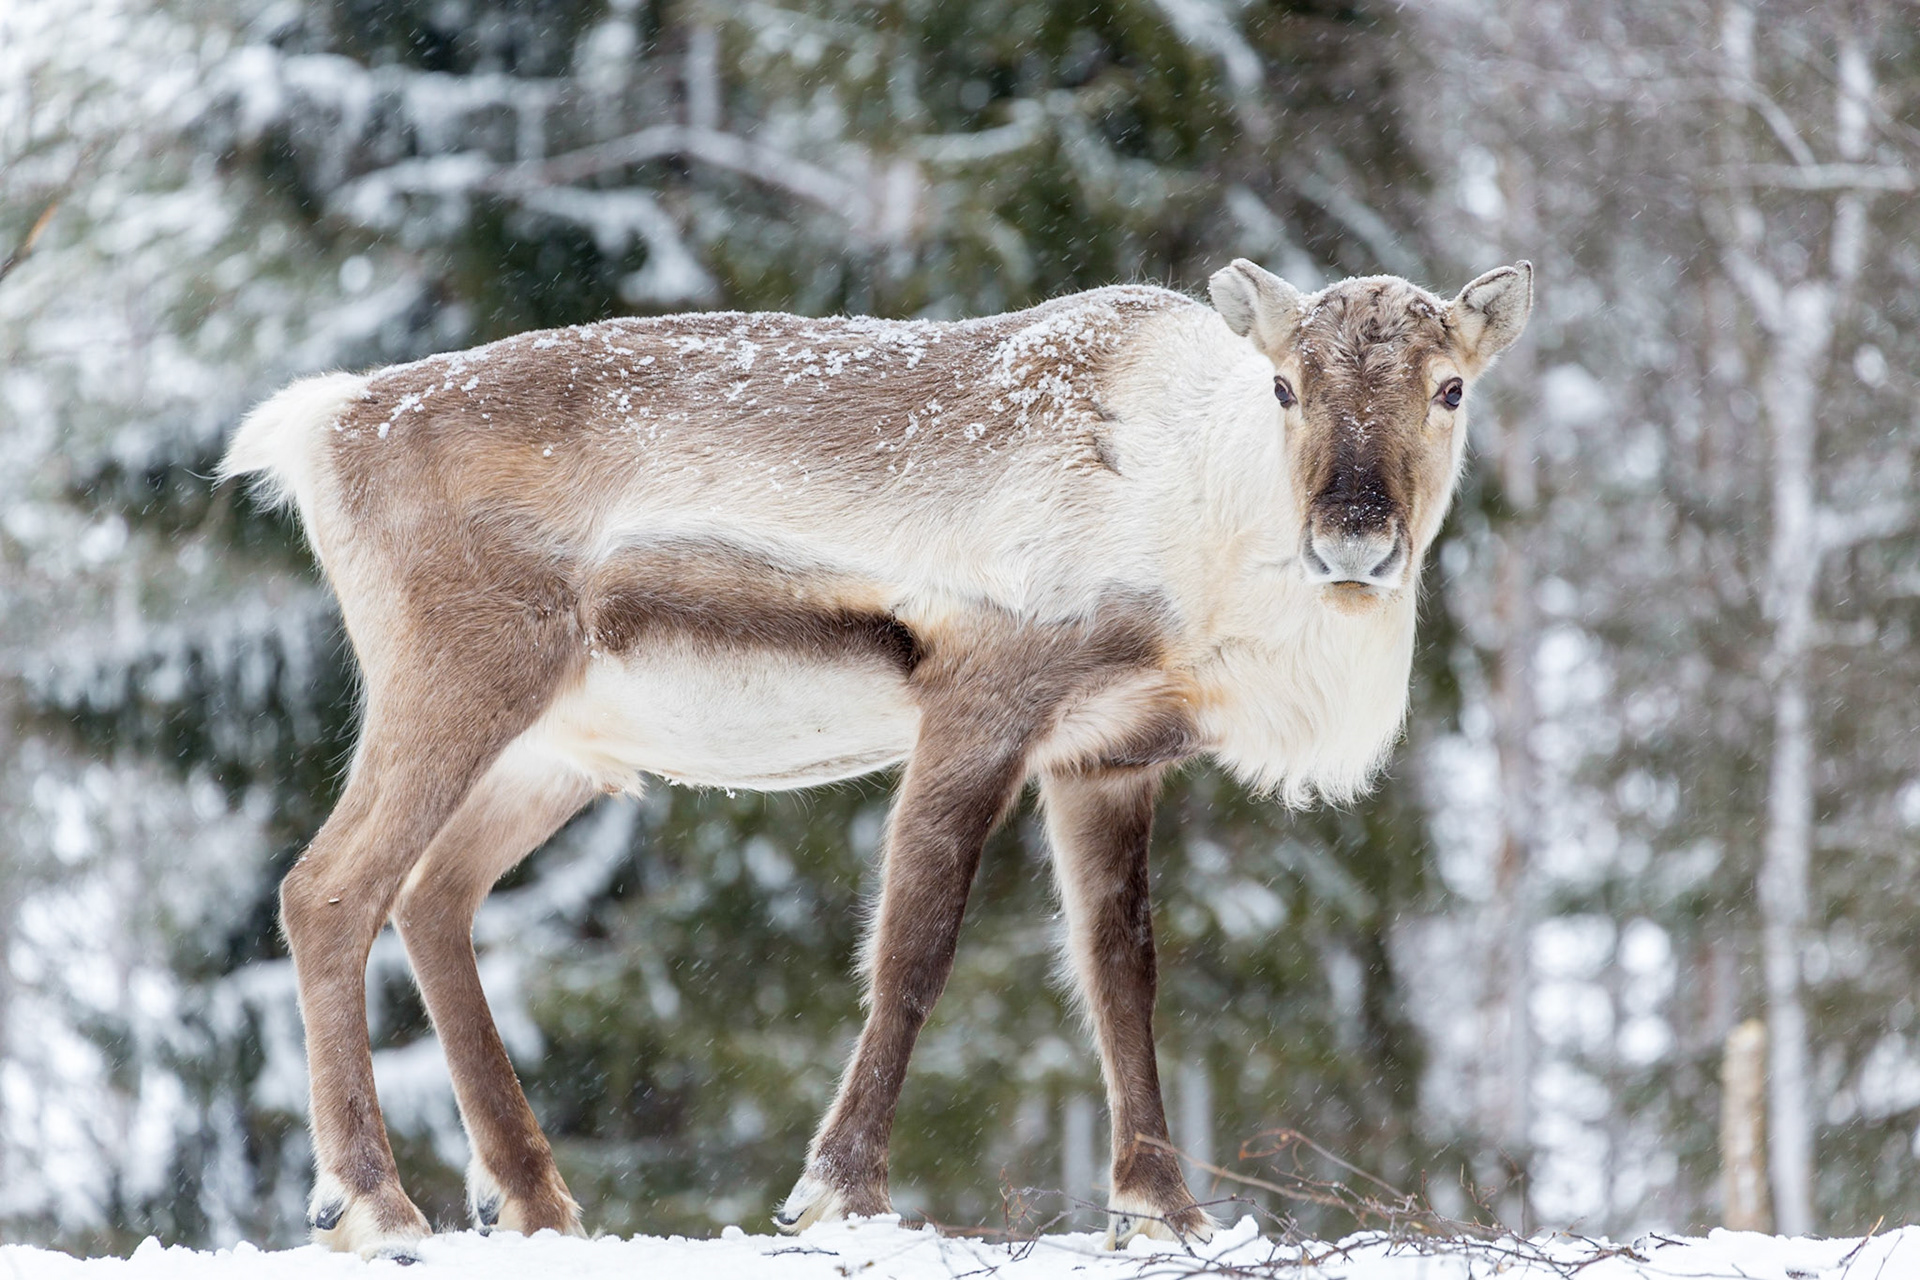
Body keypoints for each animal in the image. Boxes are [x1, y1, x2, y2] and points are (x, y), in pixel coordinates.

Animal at [220, 257, 1531, 1260]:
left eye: (1450, 385)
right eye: (1285, 385)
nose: (1353, 538)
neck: (1202, 525)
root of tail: (326, 424)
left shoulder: (1107, 756)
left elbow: (1122, 973)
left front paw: (1163, 1208)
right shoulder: (983, 700)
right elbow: (913, 948)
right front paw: (838, 1191)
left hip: (559, 750)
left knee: (433, 893)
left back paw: (535, 1201)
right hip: (456, 678)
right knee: (330, 886)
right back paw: (377, 1203)